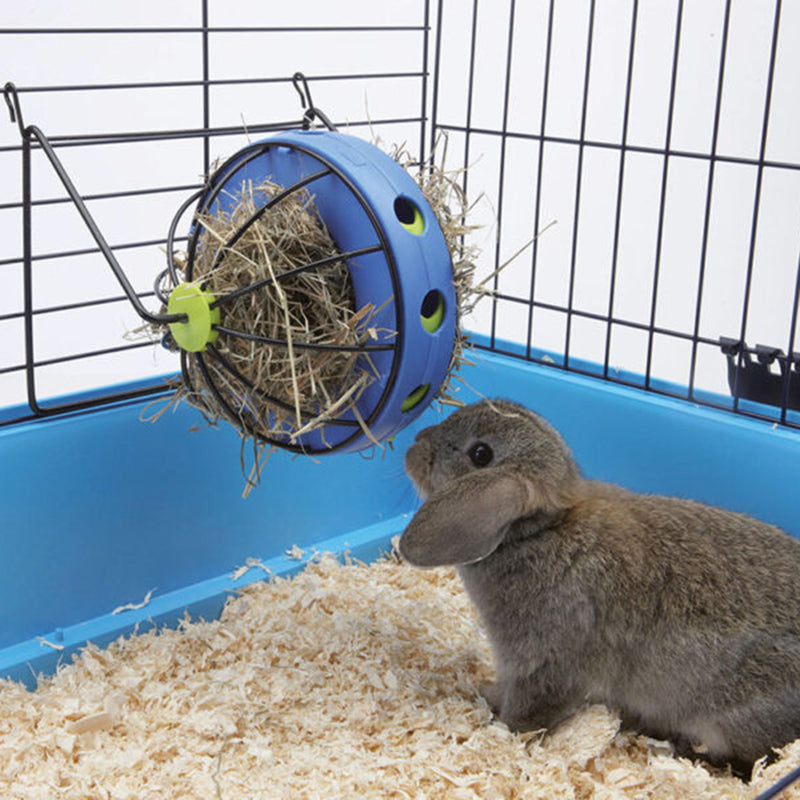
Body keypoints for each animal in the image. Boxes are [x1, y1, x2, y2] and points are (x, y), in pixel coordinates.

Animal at [398, 398, 800, 776]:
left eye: (480, 454)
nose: (415, 444)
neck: (539, 530)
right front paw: (485, 695)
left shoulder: (547, 666)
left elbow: (530, 711)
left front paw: (503, 731)